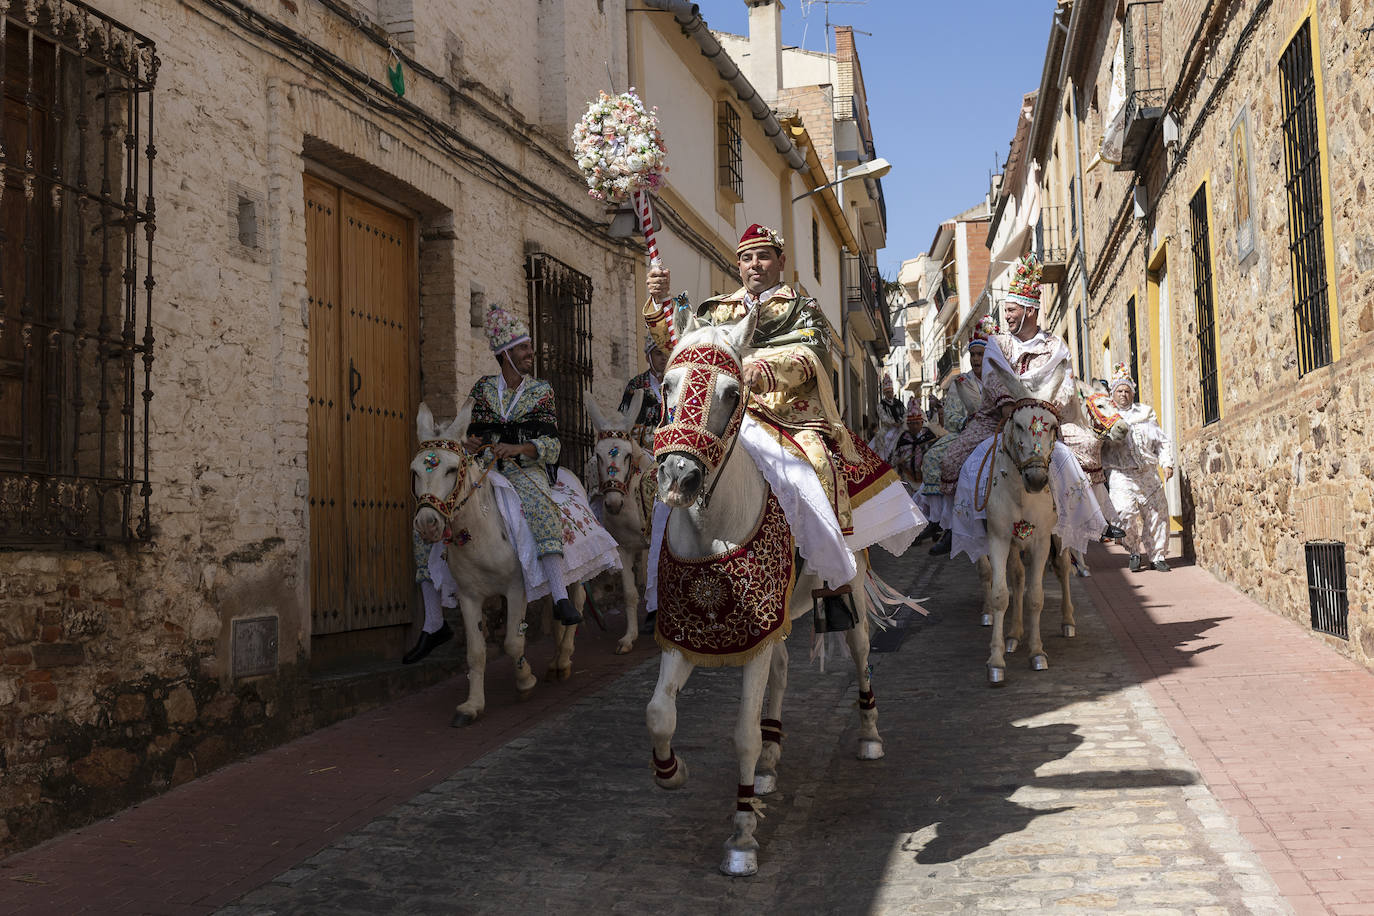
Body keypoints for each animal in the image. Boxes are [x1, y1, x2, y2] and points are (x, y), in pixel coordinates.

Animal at [406, 398, 579, 725]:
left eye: (451, 469)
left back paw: (564, 658)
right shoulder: (469, 596)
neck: (477, 534)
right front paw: (471, 706)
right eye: (415, 472)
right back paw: (553, 662)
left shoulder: (516, 587)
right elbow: (476, 652)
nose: (426, 524)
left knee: (576, 602)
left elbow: (513, 642)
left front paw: (525, 682)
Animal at [582, 390, 651, 656]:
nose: (612, 504)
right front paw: (628, 638)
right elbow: (630, 594)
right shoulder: (623, 547)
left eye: (627, 455)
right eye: (598, 455)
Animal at [643, 311, 879, 878]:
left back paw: (868, 736)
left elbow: (743, 733)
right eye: (666, 385)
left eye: (733, 392)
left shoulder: (752, 634)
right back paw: (772, 761)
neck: (714, 530)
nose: (680, 477)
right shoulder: (687, 635)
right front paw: (673, 771)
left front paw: (742, 837)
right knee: (782, 670)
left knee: (861, 653)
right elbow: (659, 713)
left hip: (852, 590)